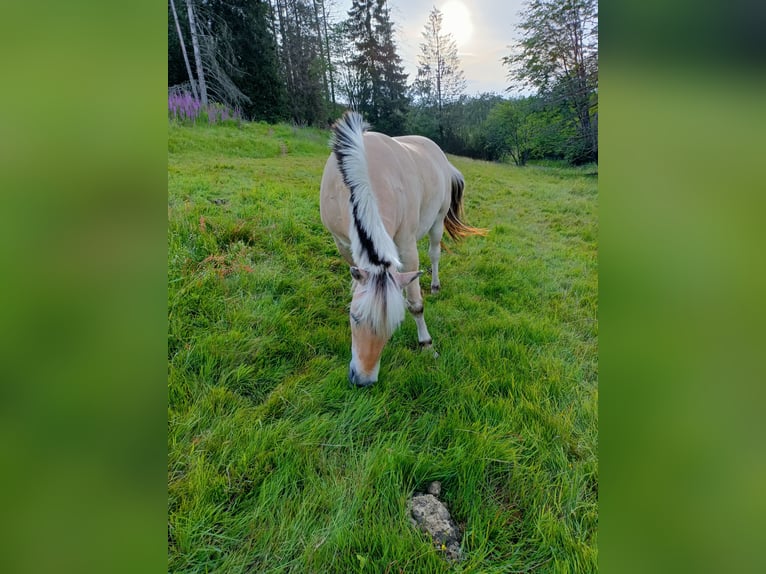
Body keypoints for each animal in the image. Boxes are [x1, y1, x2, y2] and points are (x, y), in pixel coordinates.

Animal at [320, 110, 486, 390]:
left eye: (393, 326)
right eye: (355, 318)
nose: (363, 380)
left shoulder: (406, 248)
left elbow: (416, 304)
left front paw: (426, 345)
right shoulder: (342, 243)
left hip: (437, 221)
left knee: (434, 253)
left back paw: (435, 285)